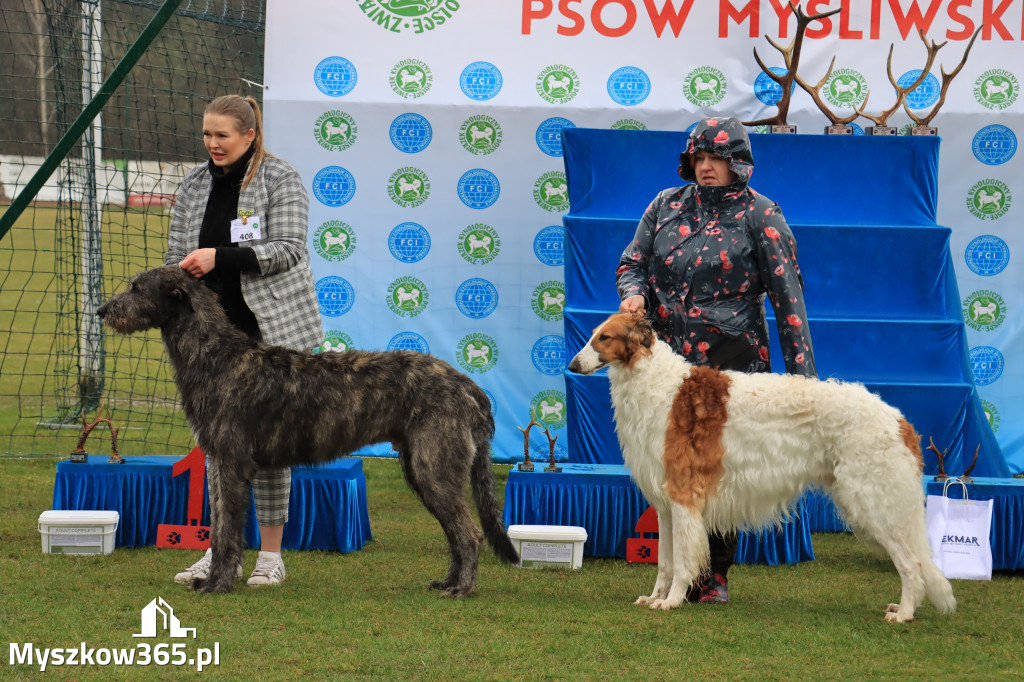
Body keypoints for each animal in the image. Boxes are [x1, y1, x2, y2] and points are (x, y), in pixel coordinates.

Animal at [97, 266, 520, 593]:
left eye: (136, 288)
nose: (102, 310)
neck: (218, 358)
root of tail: (468, 385)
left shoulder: (232, 463)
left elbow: (228, 529)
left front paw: (219, 584)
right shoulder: (217, 463)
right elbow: (217, 528)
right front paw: (213, 578)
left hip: (434, 466)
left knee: (469, 533)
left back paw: (462, 588)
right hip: (421, 468)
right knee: (456, 533)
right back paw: (449, 582)